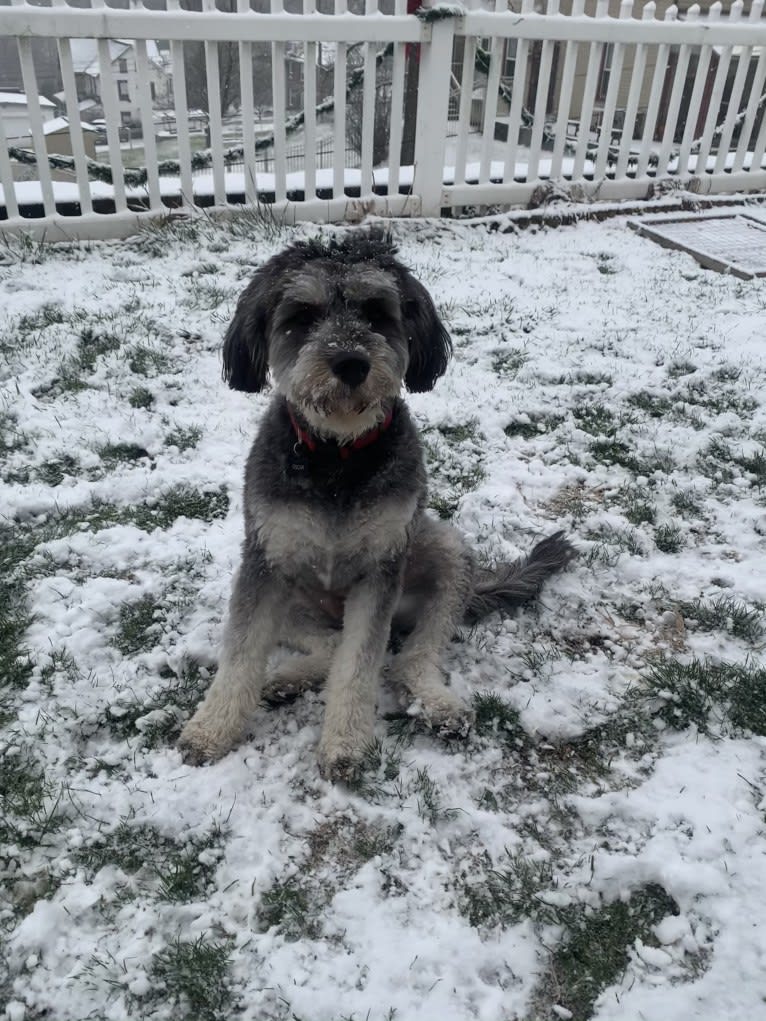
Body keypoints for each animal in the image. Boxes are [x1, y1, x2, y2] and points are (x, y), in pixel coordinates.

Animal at [179, 231, 576, 780]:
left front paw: (346, 746)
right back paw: (288, 678)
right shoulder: (265, 561)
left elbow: (361, 663)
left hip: (441, 550)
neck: (336, 456)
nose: (351, 364)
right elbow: (241, 653)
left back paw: (435, 703)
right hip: (296, 598)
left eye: (375, 312)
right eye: (302, 315)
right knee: (330, 643)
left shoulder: (381, 569)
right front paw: (211, 730)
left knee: (409, 656)